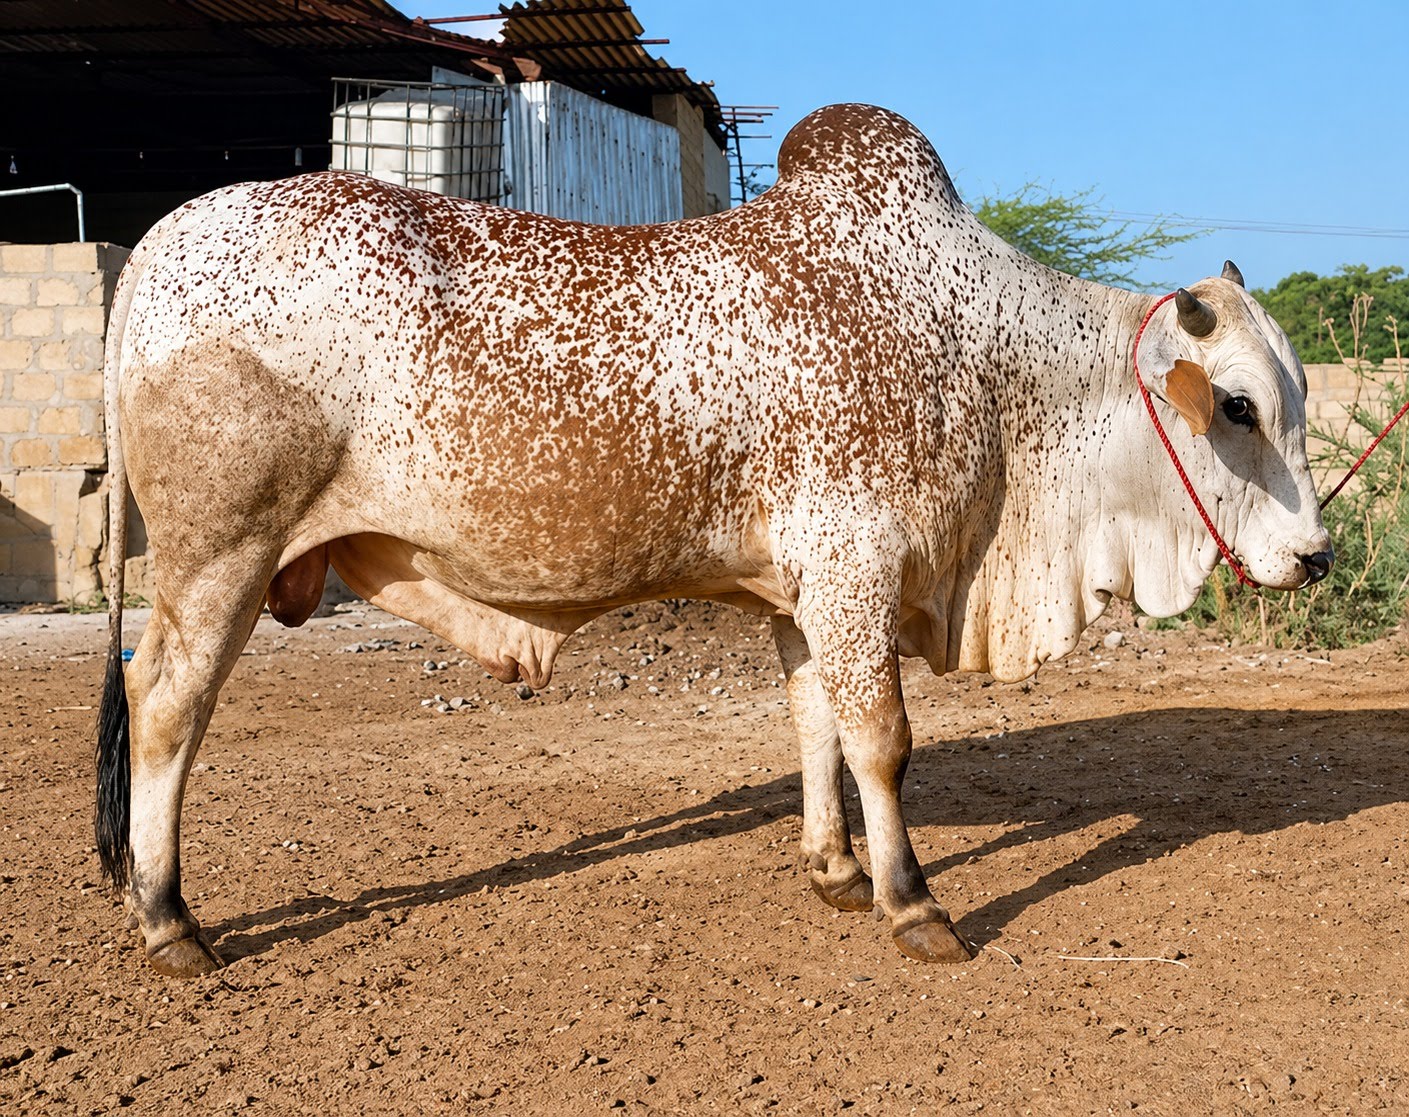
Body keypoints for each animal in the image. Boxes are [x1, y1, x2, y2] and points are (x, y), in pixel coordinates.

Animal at [96, 103, 1332, 977]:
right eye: (1235, 407)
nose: (1313, 556)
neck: (990, 368)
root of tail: (156, 243)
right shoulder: (854, 567)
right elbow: (880, 740)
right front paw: (912, 903)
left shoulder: (802, 596)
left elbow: (814, 725)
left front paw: (835, 868)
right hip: (220, 553)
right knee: (165, 705)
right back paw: (168, 920)